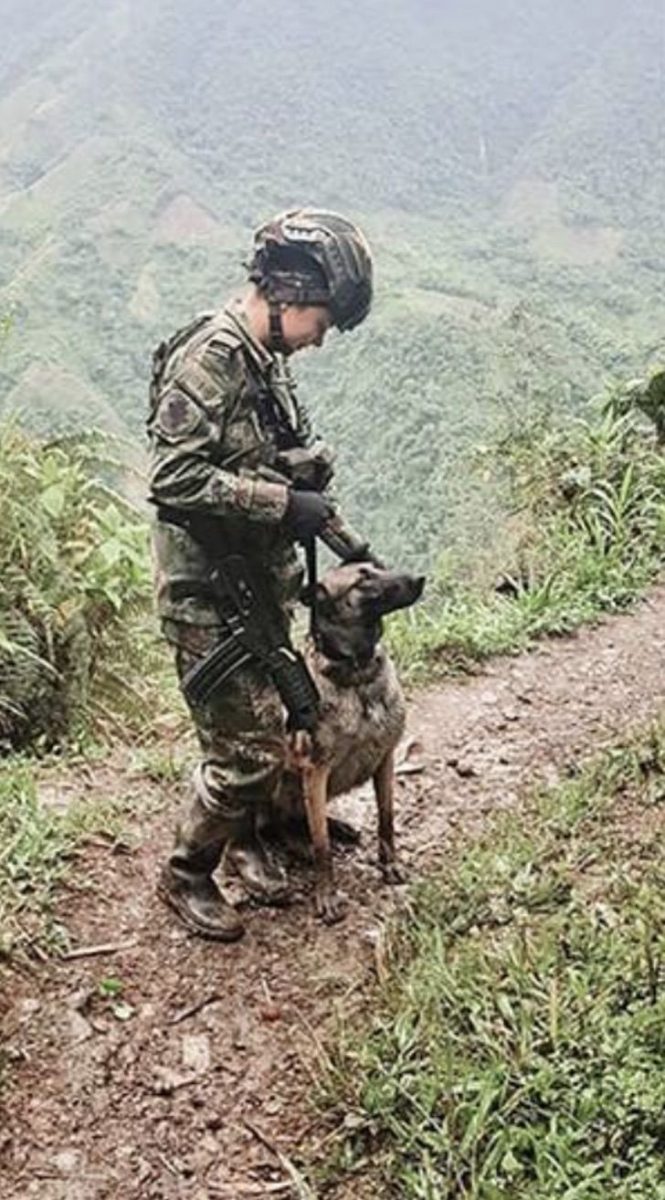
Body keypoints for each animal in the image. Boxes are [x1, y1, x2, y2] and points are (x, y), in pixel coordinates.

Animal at [271, 559, 422, 916]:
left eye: (377, 567)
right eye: (362, 580)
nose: (420, 579)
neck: (358, 672)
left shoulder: (385, 759)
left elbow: (386, 818)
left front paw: (389, 864)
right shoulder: (315, 772)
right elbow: (322, 846)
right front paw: (326, 895)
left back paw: (340, 826)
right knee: (277, 828)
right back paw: (298, 844)